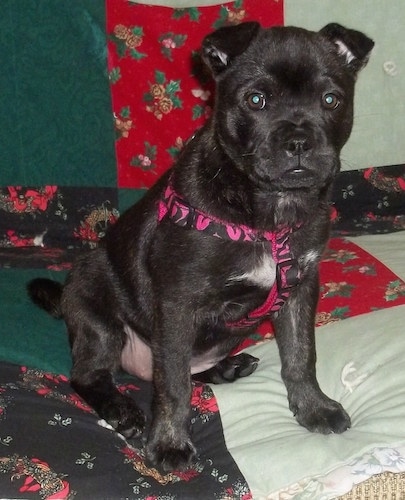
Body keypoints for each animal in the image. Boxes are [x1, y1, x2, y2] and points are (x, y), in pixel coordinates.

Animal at [29, 21, 372, 470]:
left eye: (331, 100)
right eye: (256, 100)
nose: (298, 140)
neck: (268, 213)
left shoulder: (300, 290)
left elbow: (300, 354)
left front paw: (314, 407)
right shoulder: (178, 303)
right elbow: (174, 384)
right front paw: (169, 443)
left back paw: (226, 368)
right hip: (97, 313)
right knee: (92, 375)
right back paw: (122, 410)